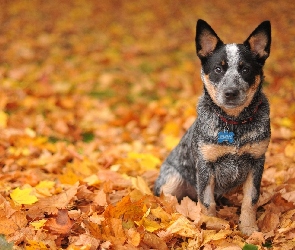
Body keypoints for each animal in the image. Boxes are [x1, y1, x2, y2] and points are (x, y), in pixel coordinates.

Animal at [155, 19, 272, 234]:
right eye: (218, 69)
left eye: (245, 69)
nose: (231, 92)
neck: (234, 124)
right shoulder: (205, 165)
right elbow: (207, 202)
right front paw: (212, 227)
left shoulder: (257, 161)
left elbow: (250, 200)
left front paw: (249, 229)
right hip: (171, 180)